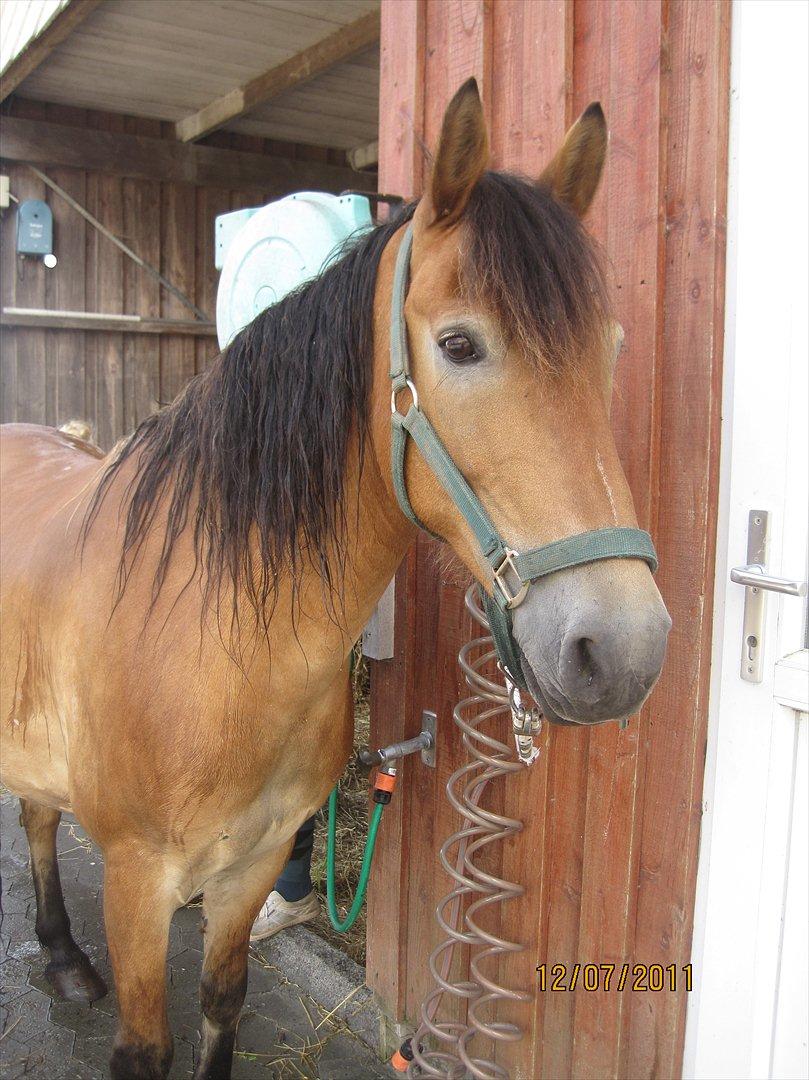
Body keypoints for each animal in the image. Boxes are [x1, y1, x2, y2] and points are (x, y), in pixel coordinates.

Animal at [0, 79, 671, 1080]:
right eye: (460, 345)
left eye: (612, 348)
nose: (622, 647)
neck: (214, 636)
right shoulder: (137, 882)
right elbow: (146, 1050)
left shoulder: (250, 866)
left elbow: (224, 1002)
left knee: (39, 815)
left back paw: (61, 956)